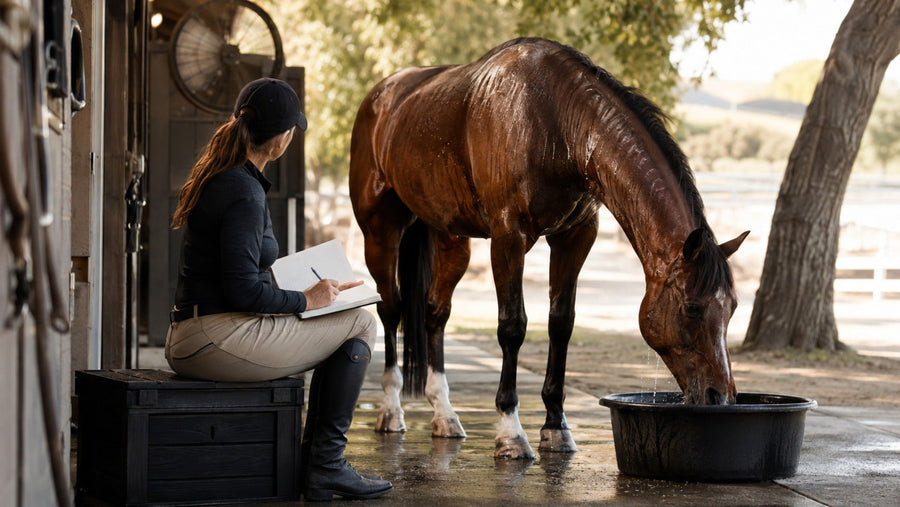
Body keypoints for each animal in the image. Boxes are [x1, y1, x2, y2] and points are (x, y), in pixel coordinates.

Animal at [349, 37, 749, 459]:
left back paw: (445, 417)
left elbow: (561, 324)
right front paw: (511, 433)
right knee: (390, 309)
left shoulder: (575, 236)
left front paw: (556, 426)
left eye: (733, 308)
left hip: (451, 238)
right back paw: (391, 412)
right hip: (380, 232)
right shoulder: (509, 238)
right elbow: (512, 327)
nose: (720, 397)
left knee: (435, 312)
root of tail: (382, 95)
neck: (556, 123)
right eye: (691, 308)